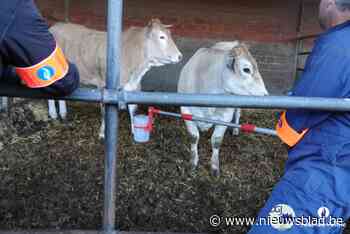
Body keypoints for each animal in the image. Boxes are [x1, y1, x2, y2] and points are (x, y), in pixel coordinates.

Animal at [48, 19, 183, 138]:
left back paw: (63, 113)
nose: (180, 56)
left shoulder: (133, 86)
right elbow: (104, 112)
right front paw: (102, 133)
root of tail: (55, 26)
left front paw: (134, 131)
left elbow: (133, 109)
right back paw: (54, 115)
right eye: (161, 37)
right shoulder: (104, 87)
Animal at [178, 41, 268, 176]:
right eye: (246, 69)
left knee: (238, 113)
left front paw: (215, 167)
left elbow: (216, 140)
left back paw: (235, 129)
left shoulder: (225, 116)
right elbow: (194, 137)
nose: (266, 94)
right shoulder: (185, 111)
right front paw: (193, 163)